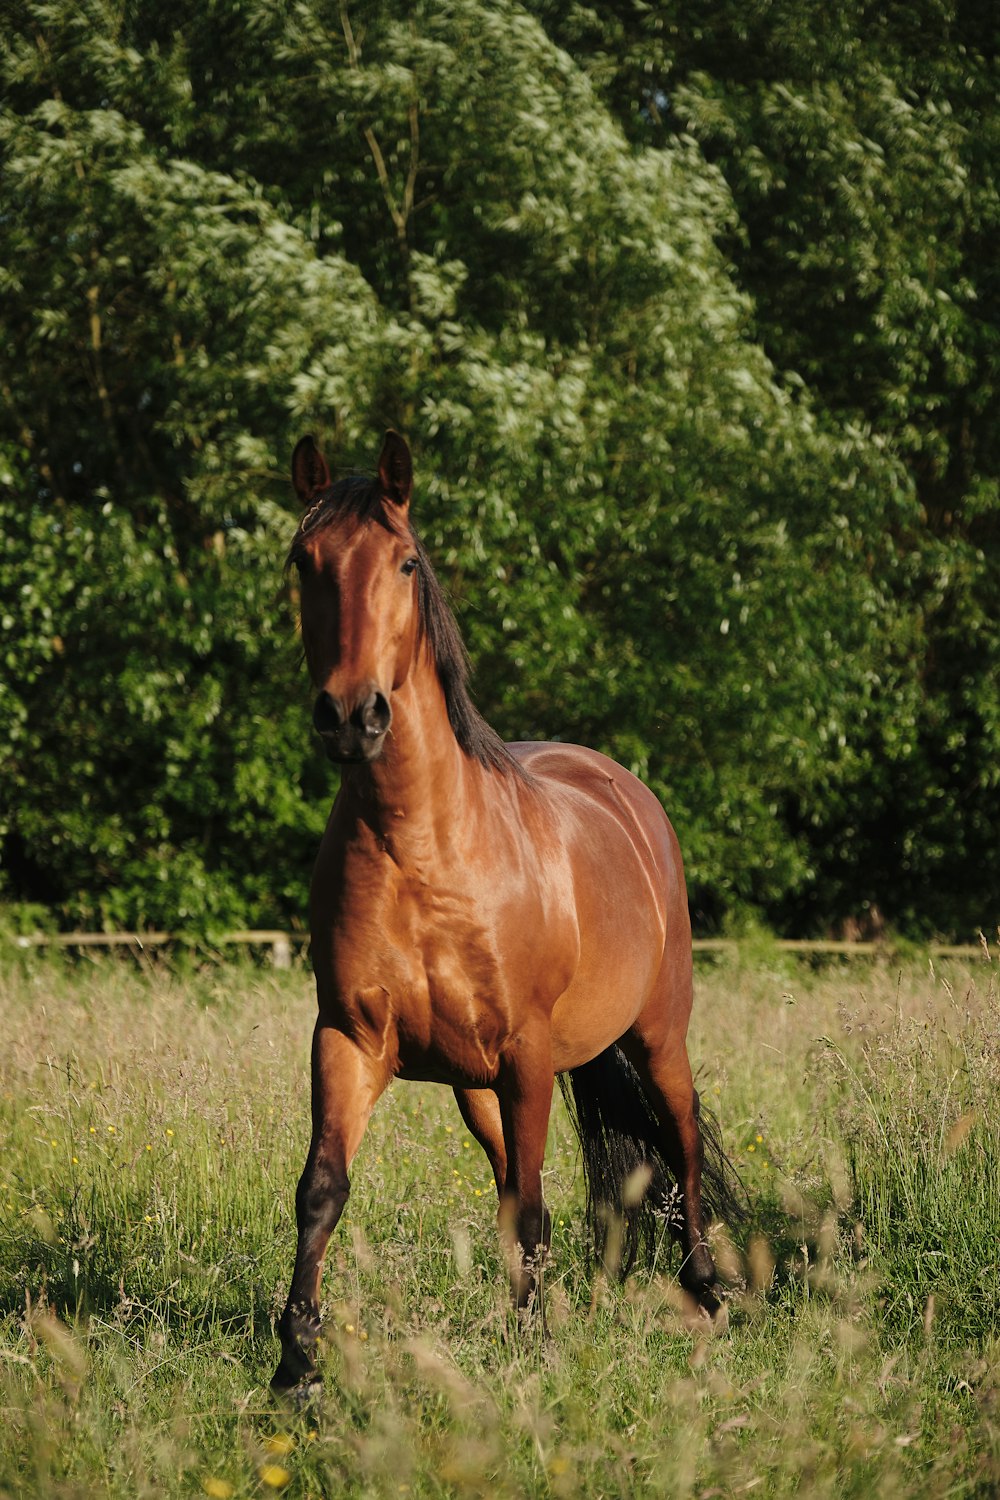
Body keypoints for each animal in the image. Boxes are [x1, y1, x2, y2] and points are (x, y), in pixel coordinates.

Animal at [274, 432, 734, 1392]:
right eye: (305, 561)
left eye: (406, 563)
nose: (351, 716)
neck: (422, 849)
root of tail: (625, 791)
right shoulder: (347, 1039)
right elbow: (322, 1189)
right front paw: (296, 1361)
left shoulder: (526, 1052)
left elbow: (529, 1207)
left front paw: (535, 1348)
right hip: (477, 1090)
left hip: (655, 1037)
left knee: (679, 1142)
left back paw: (706, 1292)